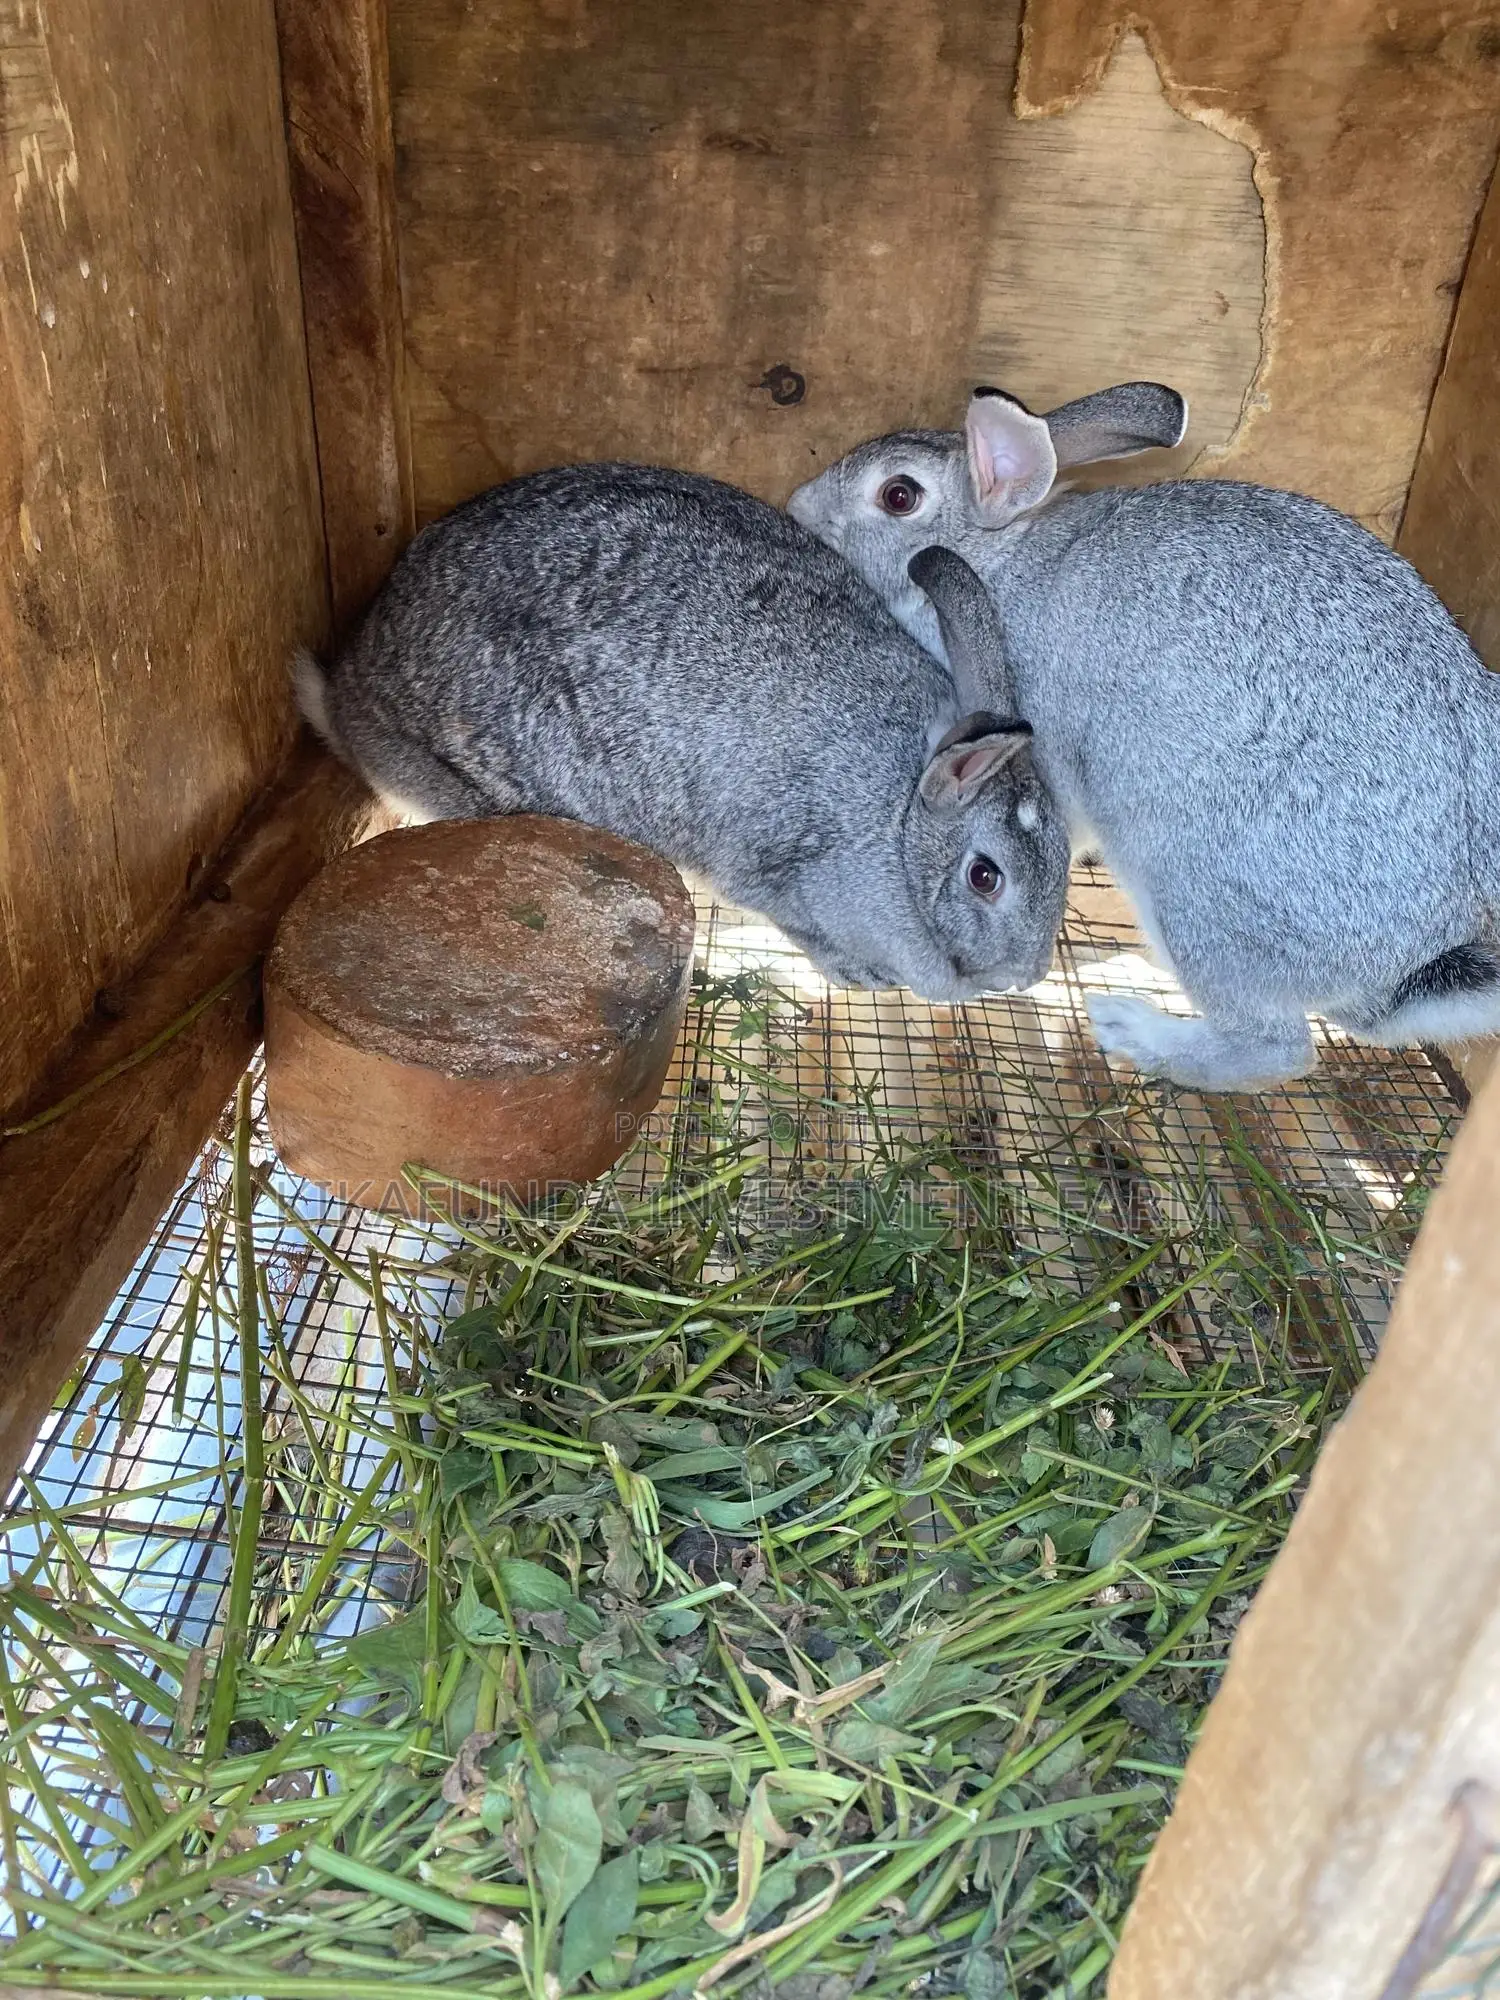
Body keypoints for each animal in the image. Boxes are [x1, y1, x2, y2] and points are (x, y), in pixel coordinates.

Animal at [295, 462, 1071, 1005]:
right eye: (984, 876)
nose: (1028, 976)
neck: (902, 815)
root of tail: (345, 695)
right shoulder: (777, 873)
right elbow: (794, 921)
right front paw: (857, 974)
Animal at [787, 383, 1500, 1092]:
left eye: (898, 495)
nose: (797, 505)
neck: (1000, 556)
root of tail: (1411, 965)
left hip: (1199, 900)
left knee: (1274, 1048)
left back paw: (1129, 1027)